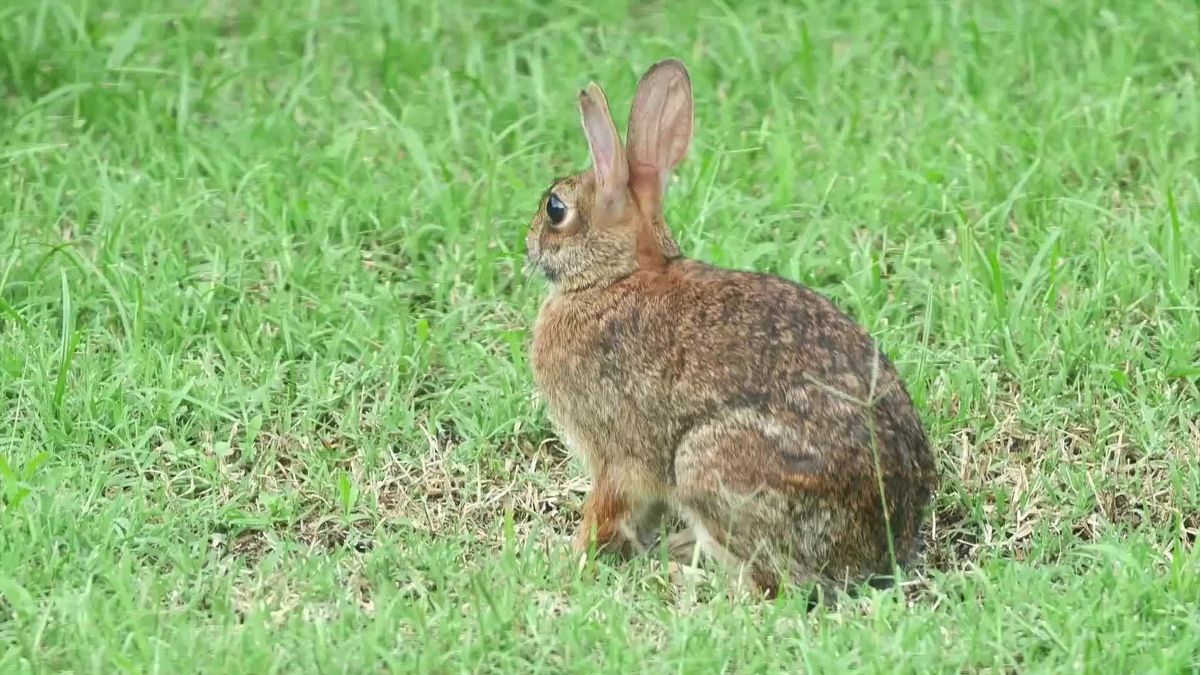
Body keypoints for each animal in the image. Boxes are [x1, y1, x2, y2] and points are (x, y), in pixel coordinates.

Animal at [525, 57, 936, 593]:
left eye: (555, 208)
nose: (528, 244)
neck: (617, 276)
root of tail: (878, 549)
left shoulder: (614, 453)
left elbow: (606, 510)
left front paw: (569, 556)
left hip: (707, 462)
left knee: (773, 585)